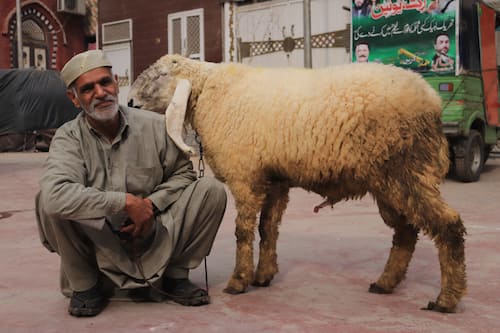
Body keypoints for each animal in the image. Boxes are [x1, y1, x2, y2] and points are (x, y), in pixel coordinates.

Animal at [127, 54, 466, 312]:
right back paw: (385, 283)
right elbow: (268, 229)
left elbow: (242, 231)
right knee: (406, 232)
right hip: (388, 183)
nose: (129, 101)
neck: (210, 91)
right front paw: (263, 276)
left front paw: (239, 280)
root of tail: (433, 102)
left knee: (448, 225)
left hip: (408, 170)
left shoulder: (245, 176)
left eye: (161, 74)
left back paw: (446, 299)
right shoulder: (275, 179)